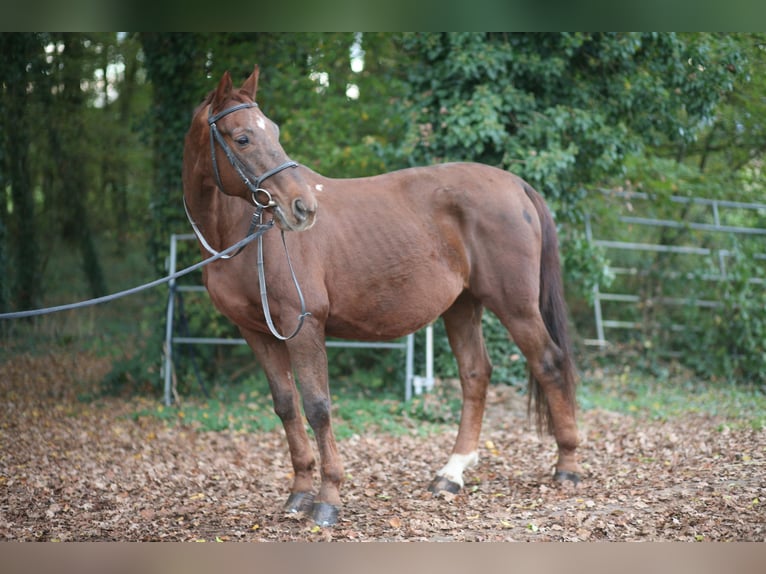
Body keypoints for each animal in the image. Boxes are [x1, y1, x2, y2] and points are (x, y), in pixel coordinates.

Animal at [184, 66, 584, 528]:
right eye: (243, 137)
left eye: (275, 131)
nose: (302, 208)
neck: (245, 234)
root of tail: (516, 184)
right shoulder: (256, 333)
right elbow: (285, 406)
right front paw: (298, 494)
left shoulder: (304, 326)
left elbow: (317, 406)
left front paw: (327, 499)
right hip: (462, 306)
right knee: (475, 374)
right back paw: (451, 474)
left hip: (515, 306)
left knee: (549, 363)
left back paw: (567, 466)